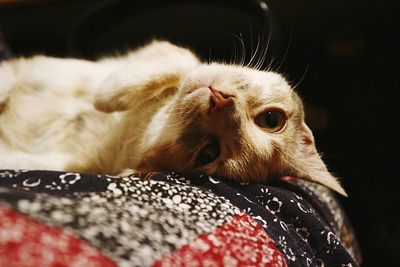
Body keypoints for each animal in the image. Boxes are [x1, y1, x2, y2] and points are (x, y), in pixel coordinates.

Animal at [0, 40, 346, 197]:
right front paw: (108, 97)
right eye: (272, 119)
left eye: (209, 152)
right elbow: (176, 64)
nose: (221, 101)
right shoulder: (170, 55)